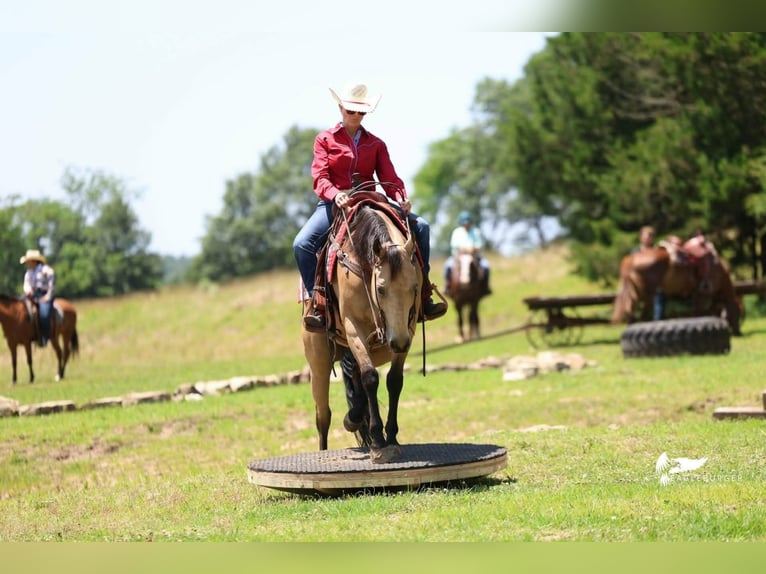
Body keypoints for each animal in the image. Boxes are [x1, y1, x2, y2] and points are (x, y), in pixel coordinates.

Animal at [302, 194, 422, 464]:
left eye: (414, 287)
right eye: (381, 289)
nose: (398, 342)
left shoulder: (407, 329)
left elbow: (394, 381)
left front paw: (391, 437)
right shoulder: (353, 327)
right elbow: (370, 378)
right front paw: (378, 442)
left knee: (355, 383)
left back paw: (354, 416)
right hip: (318, 363)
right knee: (323, 415)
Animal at [611, 245, 741, 335]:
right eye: (739, 312)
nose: (738, 332)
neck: (719, 272)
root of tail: (631, 258)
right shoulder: (702, 294)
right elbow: (699, 312)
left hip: (636, 291)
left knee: (630, 308)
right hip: (646, 293)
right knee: (639, 311)